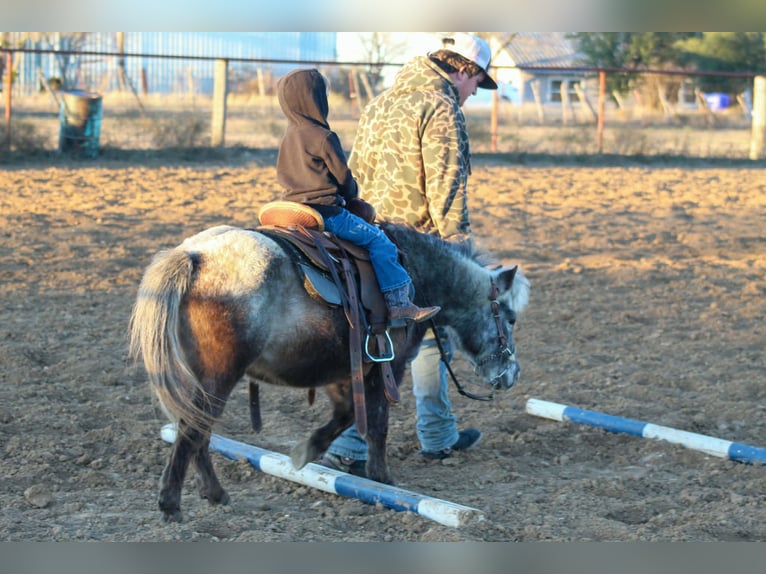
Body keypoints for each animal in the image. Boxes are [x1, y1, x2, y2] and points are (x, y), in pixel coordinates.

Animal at [129, 221, 530, 522]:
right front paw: (382, 479)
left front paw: (307, 451)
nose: (511, 374)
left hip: (205, 378)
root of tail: (195, 254)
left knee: (197, 430)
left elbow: (347, 414)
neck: (417, 276)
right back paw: (172, 505)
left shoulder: (344, 372)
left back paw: (214, 493)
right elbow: (376, 422)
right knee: (192, 431)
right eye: (510, 318)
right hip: (219, 377)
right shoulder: (388, 368)